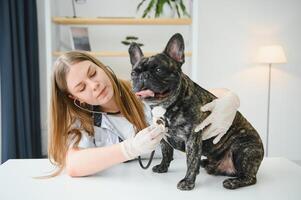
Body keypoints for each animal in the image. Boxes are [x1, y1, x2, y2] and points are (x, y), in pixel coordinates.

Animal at [128, 33, 262, 191]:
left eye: (159, 70)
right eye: (133, 73)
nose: (143, 76)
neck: (166, 105)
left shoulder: (193, 138)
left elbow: (191, 161)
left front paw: (188, 181)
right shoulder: (162, 136)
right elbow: (166, 153)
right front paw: (162, 167)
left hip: (242, 148)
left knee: (250, 177)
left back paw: (234, 182)